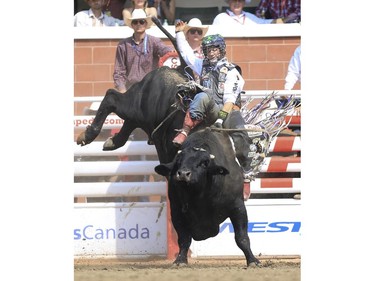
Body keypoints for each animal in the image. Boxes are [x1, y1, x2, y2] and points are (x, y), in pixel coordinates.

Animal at [75, 65, 258, 264]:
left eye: (203, 164)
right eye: (178, 162)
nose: (183, 174)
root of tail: (161, 71)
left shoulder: (237, 205)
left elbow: (241, 236)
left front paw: (252, 260)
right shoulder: (177, 208)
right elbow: (183, 236)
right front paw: (180, 260)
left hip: (140, 116)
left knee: (126, 119)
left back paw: (113, 141)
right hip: (135, 106)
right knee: (112, 97)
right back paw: (88, 135)